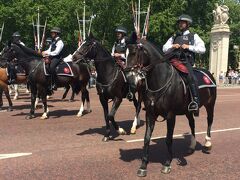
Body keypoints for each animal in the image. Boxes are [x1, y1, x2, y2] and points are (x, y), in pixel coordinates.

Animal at [126, 39, 217, 176]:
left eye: (134, 53)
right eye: (124, 53)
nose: (130, 80)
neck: (160, 80)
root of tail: (209, 74)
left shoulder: (170, 115)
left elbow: (169, 139)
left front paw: (167, 164)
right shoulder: (150, 114)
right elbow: (147, 138)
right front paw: (143, 166)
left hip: (210, 105)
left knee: (209, 121)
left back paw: (207, 143)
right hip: (188, 111)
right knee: (192, 124)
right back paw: (192, 146)